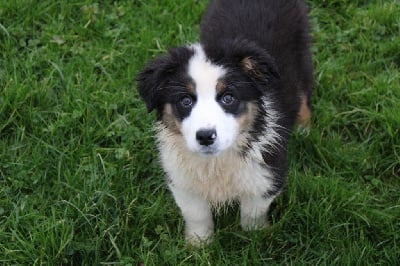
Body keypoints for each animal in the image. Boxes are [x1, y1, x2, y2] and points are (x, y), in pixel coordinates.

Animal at [137, 0, 312, 245]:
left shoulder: (266, 173)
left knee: (304, 92)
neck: (216, 162)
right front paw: (199, 245)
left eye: (228, 98)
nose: (205, 136)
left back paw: (305, 127)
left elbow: (252, 213)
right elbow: (197, 214)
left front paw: (255, 239)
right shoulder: (181, 180)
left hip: (302, 51)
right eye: (185, 101)